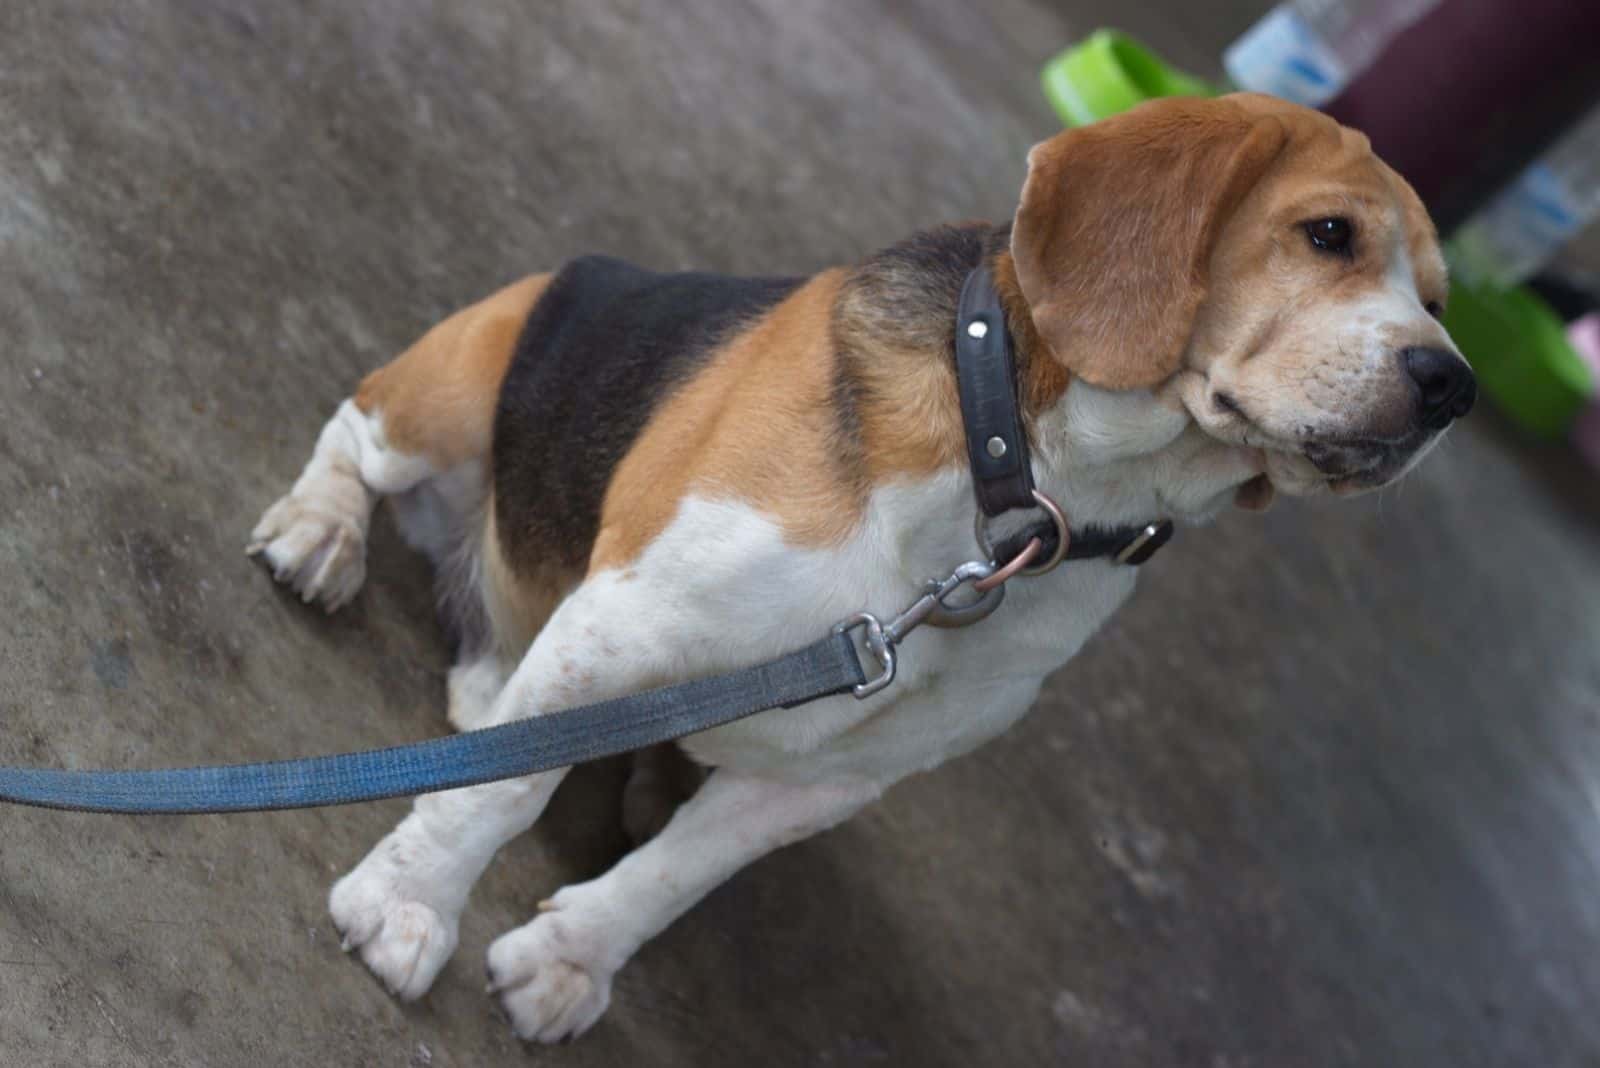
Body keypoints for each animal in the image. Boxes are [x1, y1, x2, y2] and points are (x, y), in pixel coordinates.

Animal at [246, 95, 1472, 1036]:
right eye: (1327, 234)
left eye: (1438, 304)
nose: (1450, 386)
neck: (1016, 500)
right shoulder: (623, 631)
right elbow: (494, 798)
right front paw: (406, 910)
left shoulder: (826, 778)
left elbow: (674, 881)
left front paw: (568, 962)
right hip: (456, 390)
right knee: (356, 437)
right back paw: (325, 534)